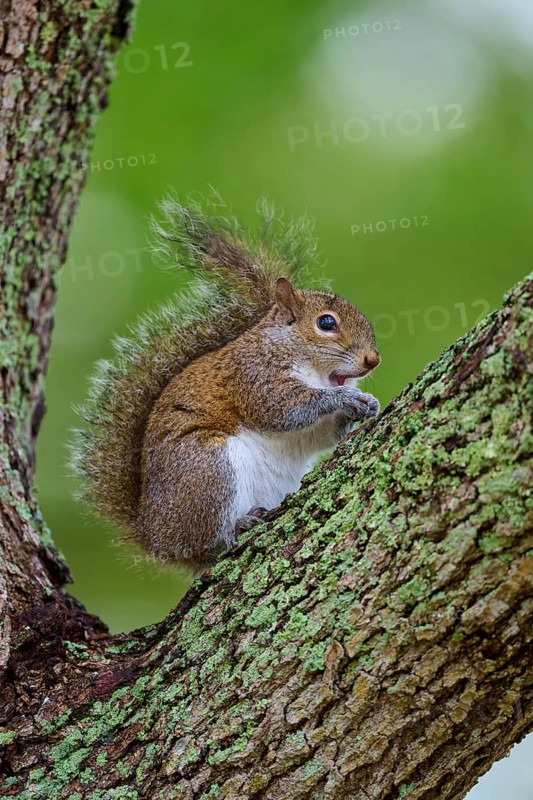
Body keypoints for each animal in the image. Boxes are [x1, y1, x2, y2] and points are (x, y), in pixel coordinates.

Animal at [72, 196, 381, 572]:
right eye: (326, 323)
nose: (373, 359)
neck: (302, 360)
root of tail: (153, 533)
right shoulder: (252, 376)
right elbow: (284, 409)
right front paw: (343, 398)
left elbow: (317, 435)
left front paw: (366, 404)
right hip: (208, 469)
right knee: (206, 545)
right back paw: (238, 526)